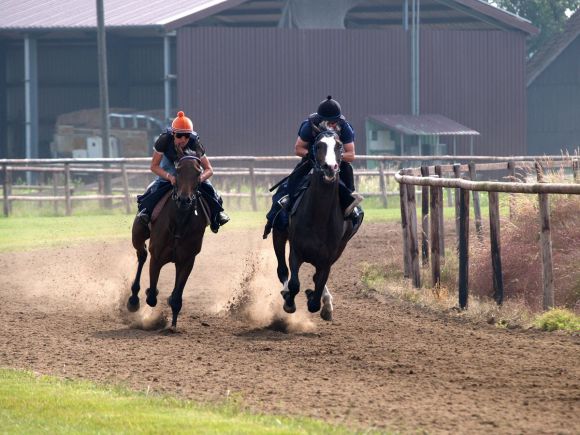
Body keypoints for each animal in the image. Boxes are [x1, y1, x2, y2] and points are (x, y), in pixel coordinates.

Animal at [128, 156, 207, 330]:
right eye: (177, 170)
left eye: (198, 172)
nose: (184, 200)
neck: (179, 223)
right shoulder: (156, 257)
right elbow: (151, 297)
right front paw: (149, 293)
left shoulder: (187, 261)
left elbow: (177, 297)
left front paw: (173, 324)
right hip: (137, 235)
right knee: (142, 255)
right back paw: (133, 299)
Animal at [274, 129, 360, 320]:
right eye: (318, 145)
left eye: (339, 145)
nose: (330, 167)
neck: (318, 219)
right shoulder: (296, 251)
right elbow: (294, 283)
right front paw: (289, 302)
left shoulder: (327, 259)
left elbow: (316, 293)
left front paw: (317, 299)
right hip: (279, 235)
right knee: (282, 269)